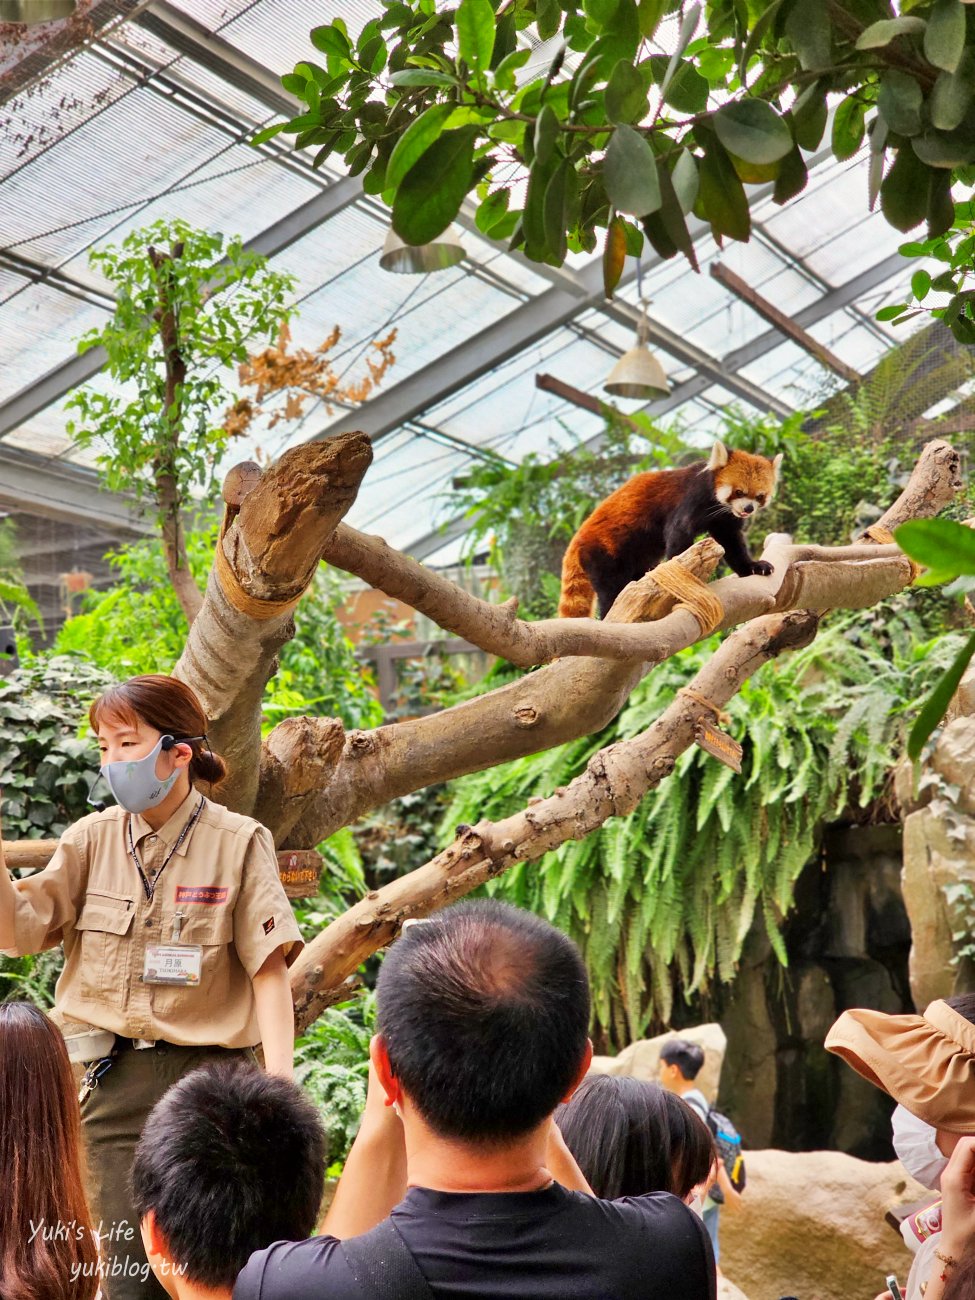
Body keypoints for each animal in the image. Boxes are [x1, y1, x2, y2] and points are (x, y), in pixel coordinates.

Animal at [561, 441, 785, 618]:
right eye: (739, 492)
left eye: (759, 496)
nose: (748, 509)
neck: (713, 500)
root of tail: (576, 540)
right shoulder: (691, 499)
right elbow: (678, 535)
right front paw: (685, 576)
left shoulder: (724, 519)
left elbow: (732, 543)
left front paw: (752, 566)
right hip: (604, 552)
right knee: (610, 586)